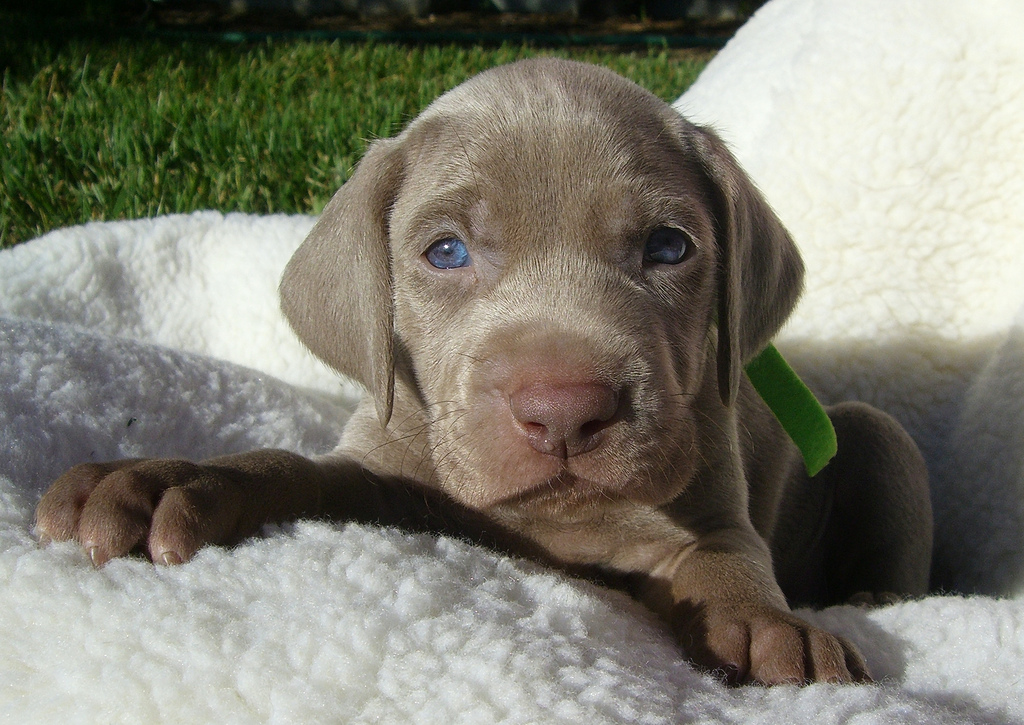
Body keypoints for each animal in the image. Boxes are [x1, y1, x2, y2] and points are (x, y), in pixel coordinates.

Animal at [32, 58, 933, 684]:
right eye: (446, 251)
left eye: (669, 246)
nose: (564, 410)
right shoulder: (386, 472)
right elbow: (287, 466)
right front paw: (160, 478)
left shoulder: (708, 492)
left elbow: (727, 559)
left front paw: (770, 630)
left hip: (878, 434)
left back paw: (873, 602)